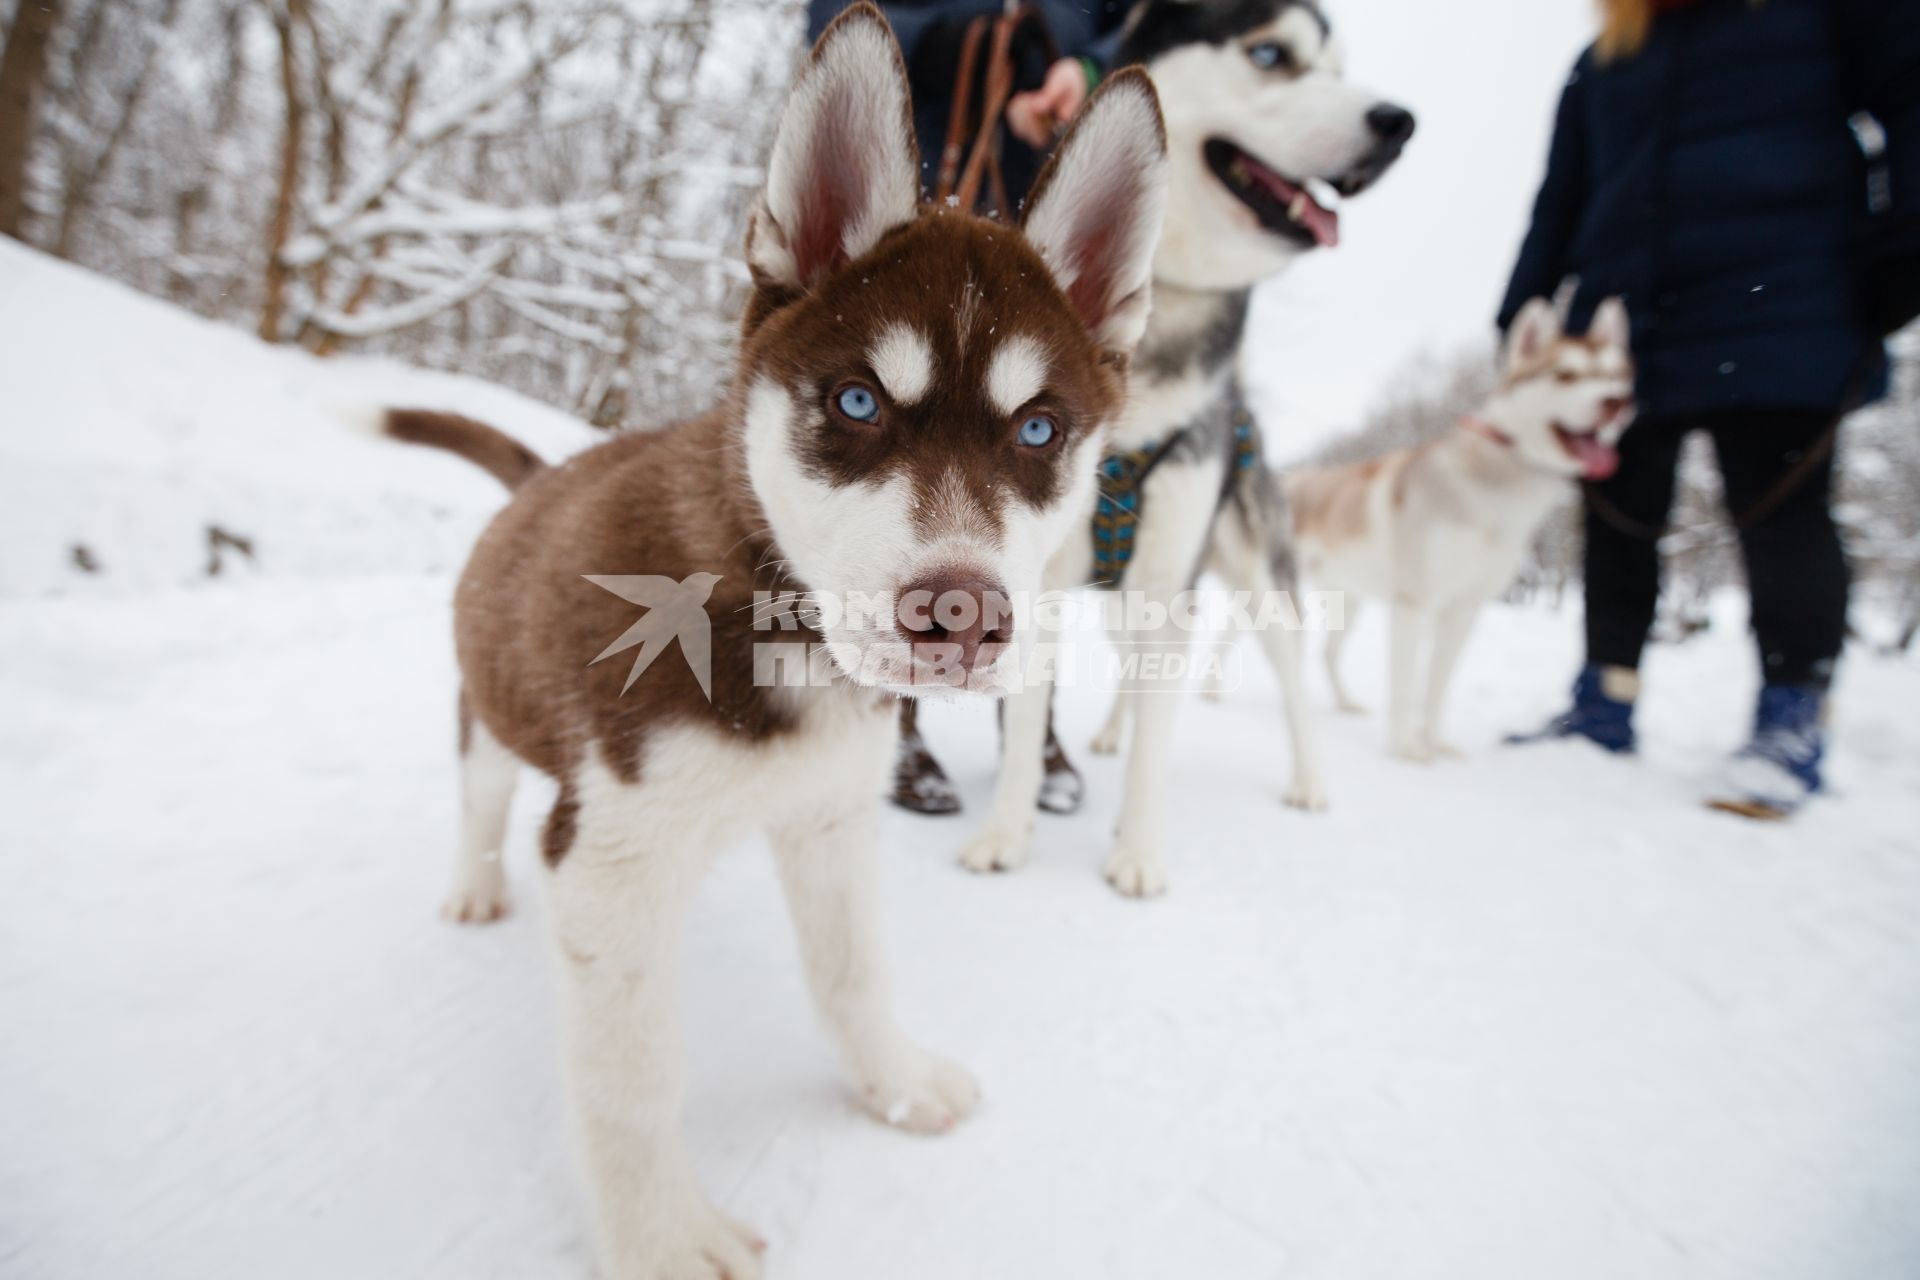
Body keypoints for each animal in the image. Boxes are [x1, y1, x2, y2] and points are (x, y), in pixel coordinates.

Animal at [387, 7, 1159, 1274]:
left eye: (1041, 429)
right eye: (855, 403)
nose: (961, 614)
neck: (778, 618)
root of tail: (538, 473)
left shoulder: (833, 818)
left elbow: (852, 973)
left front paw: (893, 1083)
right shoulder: (609, 853)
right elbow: (634, 1073)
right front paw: (659, 1234)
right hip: (492, 708)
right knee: (477, 789)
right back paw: (469, 884)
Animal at [1290, 299, 1635, 759]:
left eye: (1615, 376)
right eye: (1567, 375)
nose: (1617, 402)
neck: (1490, 492)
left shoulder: (1463, 610)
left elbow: (1437, 686)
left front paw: (1436, 742)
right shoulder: (1413, 602)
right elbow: (1405, 684)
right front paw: (1406, 748)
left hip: (1350, 598)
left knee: (1328, 654)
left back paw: (1346, 703)